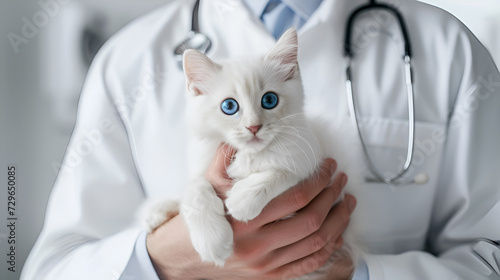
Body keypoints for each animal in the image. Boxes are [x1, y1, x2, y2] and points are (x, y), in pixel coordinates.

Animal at [143, 28, 362, 278]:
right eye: (229, 106)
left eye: (269, 100)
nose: (254, 127)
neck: (247, 155)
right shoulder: (204, 164)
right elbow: (195, 188)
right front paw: (211, 240)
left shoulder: (313, 157)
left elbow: (284, 172)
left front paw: (242, 199)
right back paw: (156, 212)